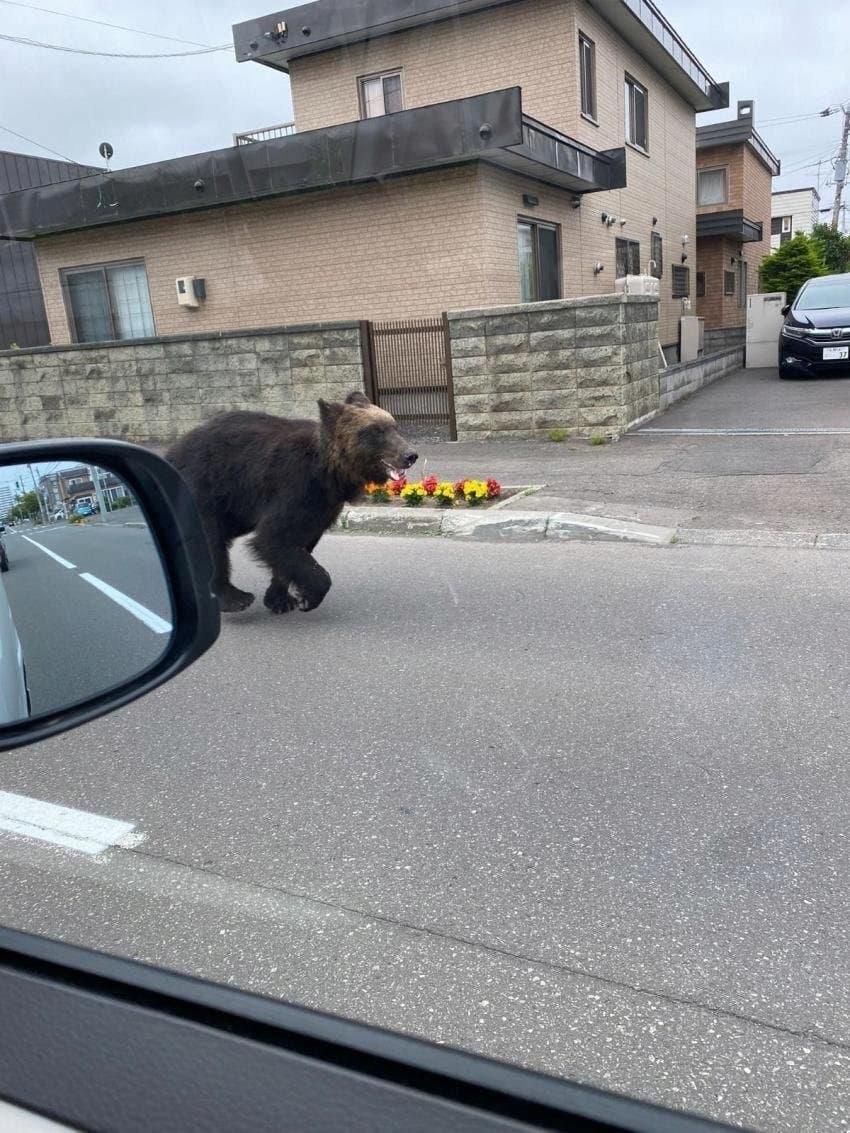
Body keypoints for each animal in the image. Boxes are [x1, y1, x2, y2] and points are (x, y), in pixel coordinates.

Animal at [164, 394, 417, 616]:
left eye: (394, 426)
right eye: (376, 431)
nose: (410, 455)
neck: (330, 474)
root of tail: (171, 452)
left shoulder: (321, 507)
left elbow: (293, 545)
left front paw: (281, 599)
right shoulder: (293, 487)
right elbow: (273, 537)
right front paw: (309, 597)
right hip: (204, 488)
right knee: (211, 541)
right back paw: (234, 598)